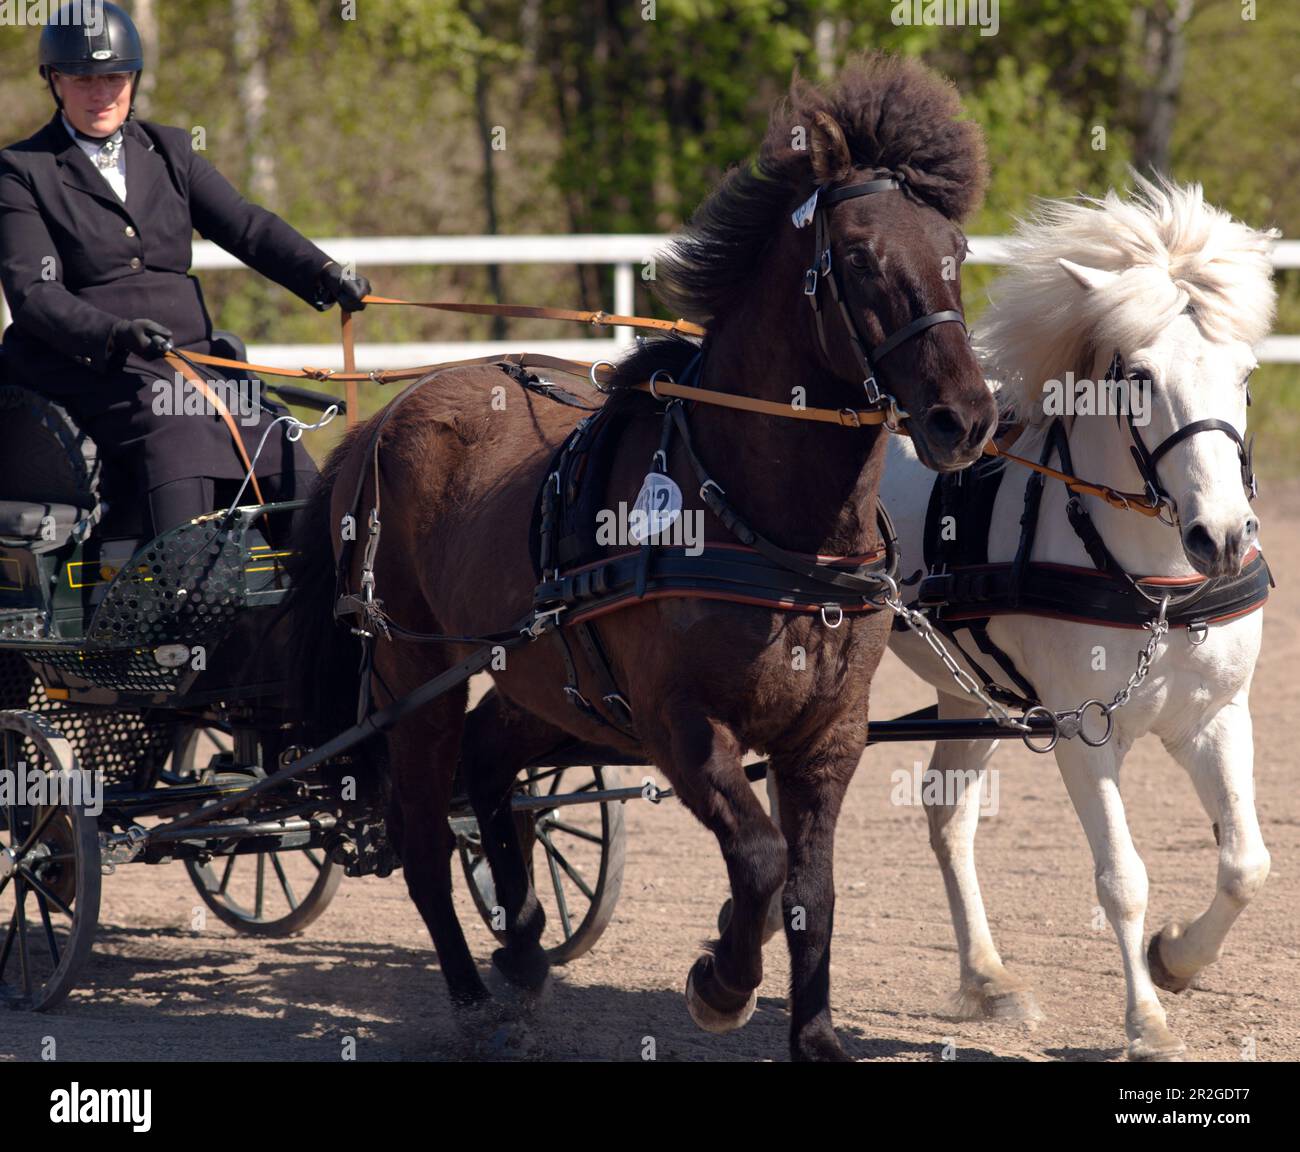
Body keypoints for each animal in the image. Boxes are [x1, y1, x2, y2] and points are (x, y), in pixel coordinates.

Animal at [287, 53, 993, 1066]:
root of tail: (384, 419)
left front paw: (815, 1036)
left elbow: (811, 892)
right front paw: (720, 983)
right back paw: (473, 995)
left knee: (488, 764)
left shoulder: (830, 734)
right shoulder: (681, 725)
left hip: (545, 679)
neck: (770, 527)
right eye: (859, 257)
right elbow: (762, 863)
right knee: (423, 834)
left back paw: (524, 942)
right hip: (410, 672)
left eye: (957, 252)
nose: (963, 418)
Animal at [878, 174, 1274, 1066]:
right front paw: (1147, 1024)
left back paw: (988, 980)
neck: (1159, 584)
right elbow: (1121, 879)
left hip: (971, 692)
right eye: (1139, 375)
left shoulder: (1216, 716)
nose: (1224, 537)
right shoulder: (1081, 731)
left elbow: (1246, 864)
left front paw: (1175, 961)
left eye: (1245, 373)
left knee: (948, 818)